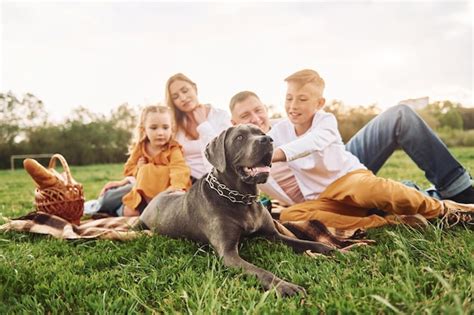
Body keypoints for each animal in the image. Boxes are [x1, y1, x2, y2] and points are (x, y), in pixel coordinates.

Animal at [137, 124, 336, 298]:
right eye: (239, 138)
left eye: (261, 132)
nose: (267, 139)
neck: (242, 199)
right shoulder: (228, 254)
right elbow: (261, 271)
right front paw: (285, 286)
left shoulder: (274, 235)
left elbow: (307, 243)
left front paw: (336, 251)